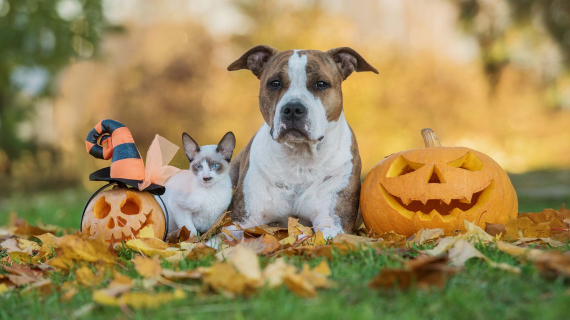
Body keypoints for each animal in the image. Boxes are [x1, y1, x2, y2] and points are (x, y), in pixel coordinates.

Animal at [226, 46, 378, 239]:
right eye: (275, 83)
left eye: (321, 83)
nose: (292, 108)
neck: (300, 157)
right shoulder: (241, 221)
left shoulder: (332, 222)